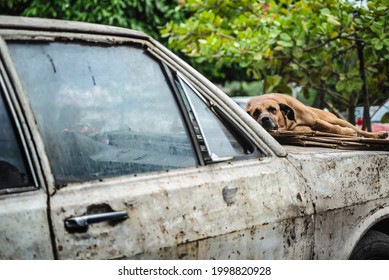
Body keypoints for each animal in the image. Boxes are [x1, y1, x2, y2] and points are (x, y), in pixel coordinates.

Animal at [246, 93, 388, 139]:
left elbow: (331, 127)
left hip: (336, 119)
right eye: (256, 113)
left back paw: (378, 134)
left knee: (359, 130)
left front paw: (347, 132)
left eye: (273, 109)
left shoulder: (315, 120)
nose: (265, 119)